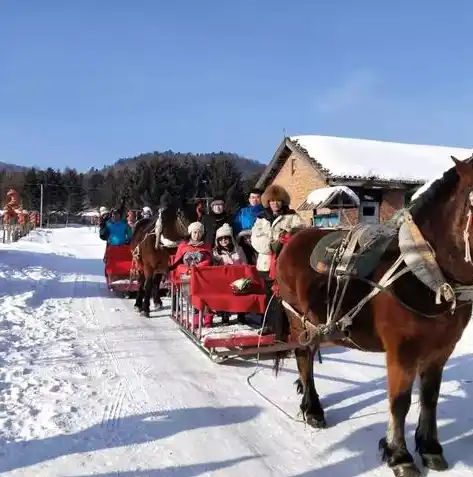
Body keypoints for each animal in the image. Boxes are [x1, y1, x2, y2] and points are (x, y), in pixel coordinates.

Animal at [274, 154, 472, 474]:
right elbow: (400, 402)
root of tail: (293, 236)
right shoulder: (402, 352)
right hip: (299, 321)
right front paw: (399, 454)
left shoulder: (440, 351)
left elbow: (430, 397)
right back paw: (313, 408)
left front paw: (430, 447)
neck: (423, 270)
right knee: (304, 359)